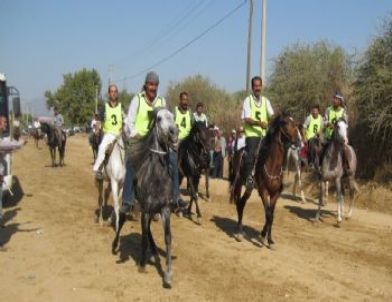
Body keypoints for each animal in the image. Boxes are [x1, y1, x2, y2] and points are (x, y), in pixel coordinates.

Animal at [230, 112, 300, 249]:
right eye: (284, 122)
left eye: (294, 122)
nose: (298, 140)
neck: (272, 165)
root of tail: (238, 152)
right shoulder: (264, 191)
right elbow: (268, 214)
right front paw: (263, 238)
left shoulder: (275, 194)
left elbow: (271, 215)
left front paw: (269, 240)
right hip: (239, 183)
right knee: (238, 202)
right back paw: (239, 232)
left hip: (249, 188)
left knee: (242, 203)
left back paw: (241, 230)